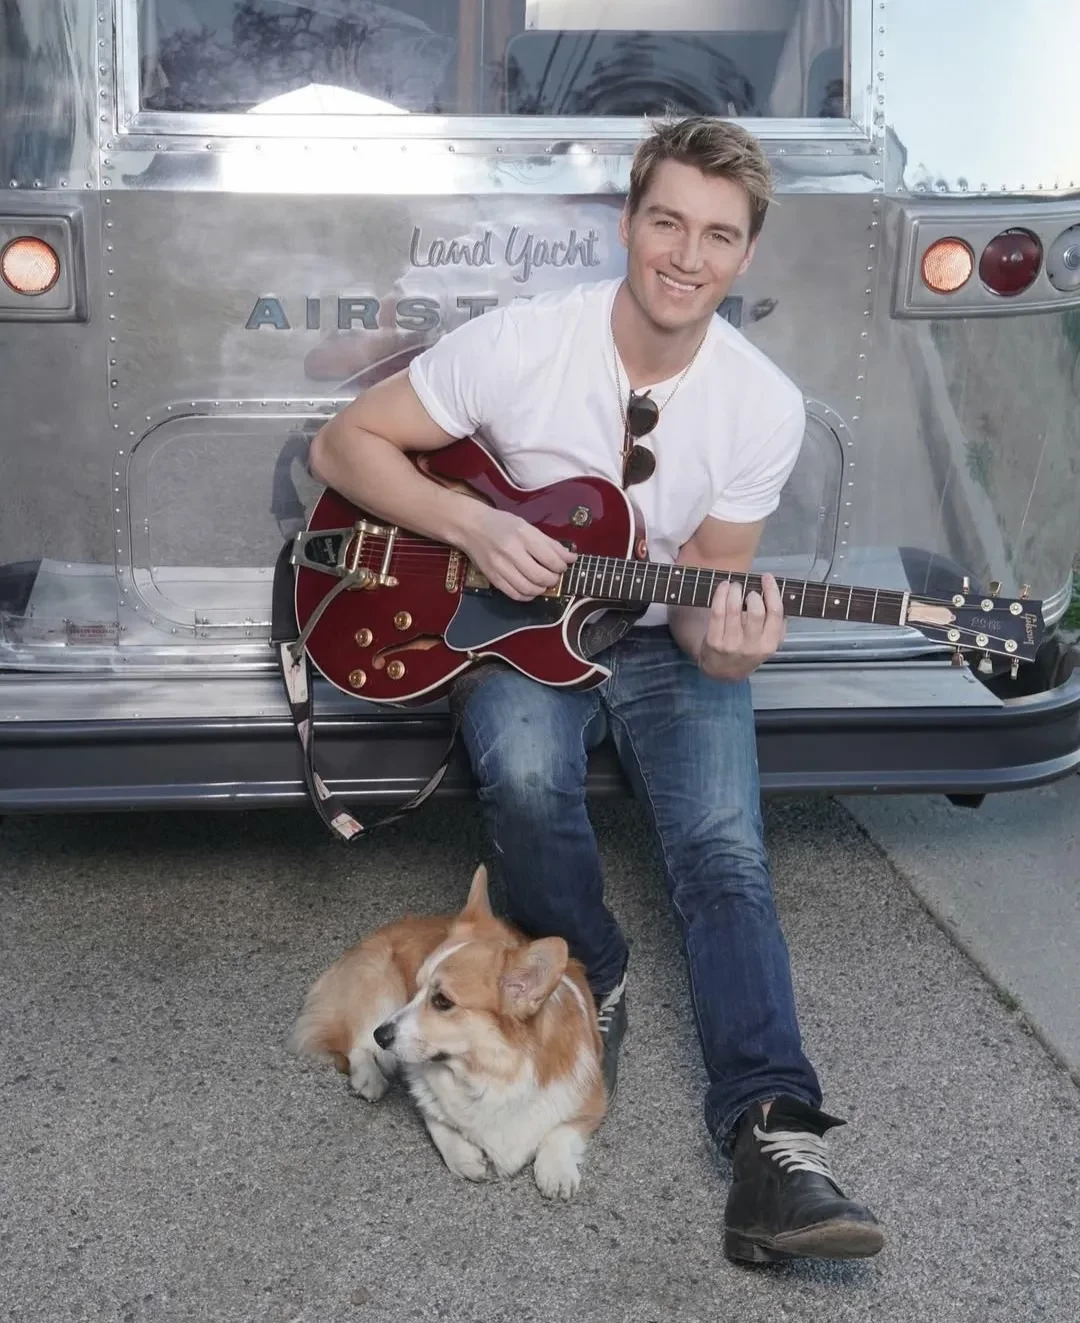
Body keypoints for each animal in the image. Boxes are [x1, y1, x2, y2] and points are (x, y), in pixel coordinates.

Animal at [290, 864, 607, 1199]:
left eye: (442, 1001)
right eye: (415, 990)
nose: (382, 1036)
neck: (490, 1072)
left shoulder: (592, 1101)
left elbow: (560, 1131)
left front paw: (555, 1170)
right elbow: (438, 1119)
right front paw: (464, 1157)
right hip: (381, 992)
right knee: (356, 1040)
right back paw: (369, 1077)